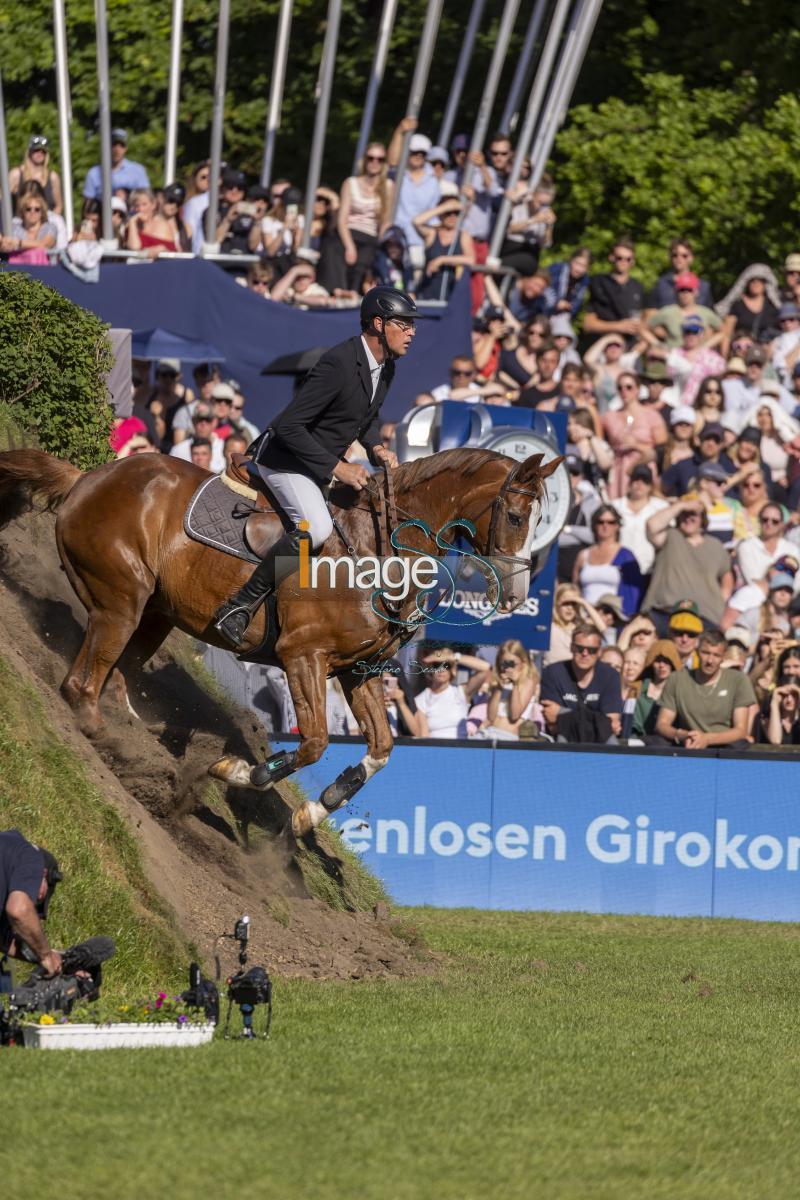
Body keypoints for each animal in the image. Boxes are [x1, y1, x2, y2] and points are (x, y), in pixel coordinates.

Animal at [0, 451, 556, 835]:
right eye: (514, 517)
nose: (516, 596)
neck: (378, 554)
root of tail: (89, 477)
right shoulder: (302, 657)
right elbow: (313, 742)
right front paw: (240, 771)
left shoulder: (356, 672)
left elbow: (381, 748)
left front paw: (312, 812)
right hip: (122, 602)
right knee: (82, 683)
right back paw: (111, 739)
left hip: (156, 612)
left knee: (118, 677)